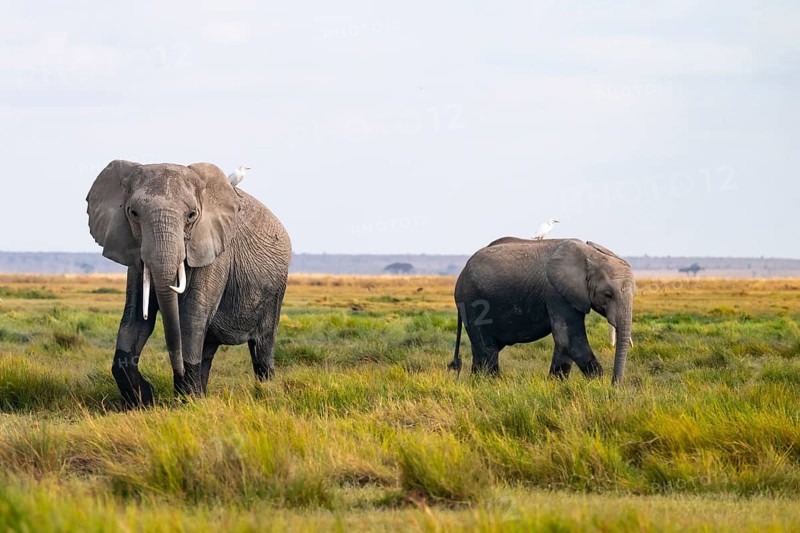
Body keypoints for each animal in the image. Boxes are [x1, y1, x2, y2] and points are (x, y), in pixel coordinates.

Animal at [86, 160, 291, 406]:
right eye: (133, 213)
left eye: (192, 215)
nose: (177, 372)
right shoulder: (135, 253)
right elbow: (135, 319)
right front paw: (145, 398)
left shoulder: (215, 250)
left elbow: (191, 317)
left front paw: (186, 402)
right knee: (208, 349)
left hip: (276, 290)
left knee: (262, 346)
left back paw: (265, 392)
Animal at [449, 237, 634, 384]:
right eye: (608, 294)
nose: (615, 385)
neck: (591, 255)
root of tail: (462, 272)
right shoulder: (556, 292)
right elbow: (569, 339)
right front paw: (600, 386)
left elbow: (564, 342)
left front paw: (555, 385)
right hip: (472, 301)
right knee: (488, 348)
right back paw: (493, 385)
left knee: (482, 349)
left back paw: (477, 383)